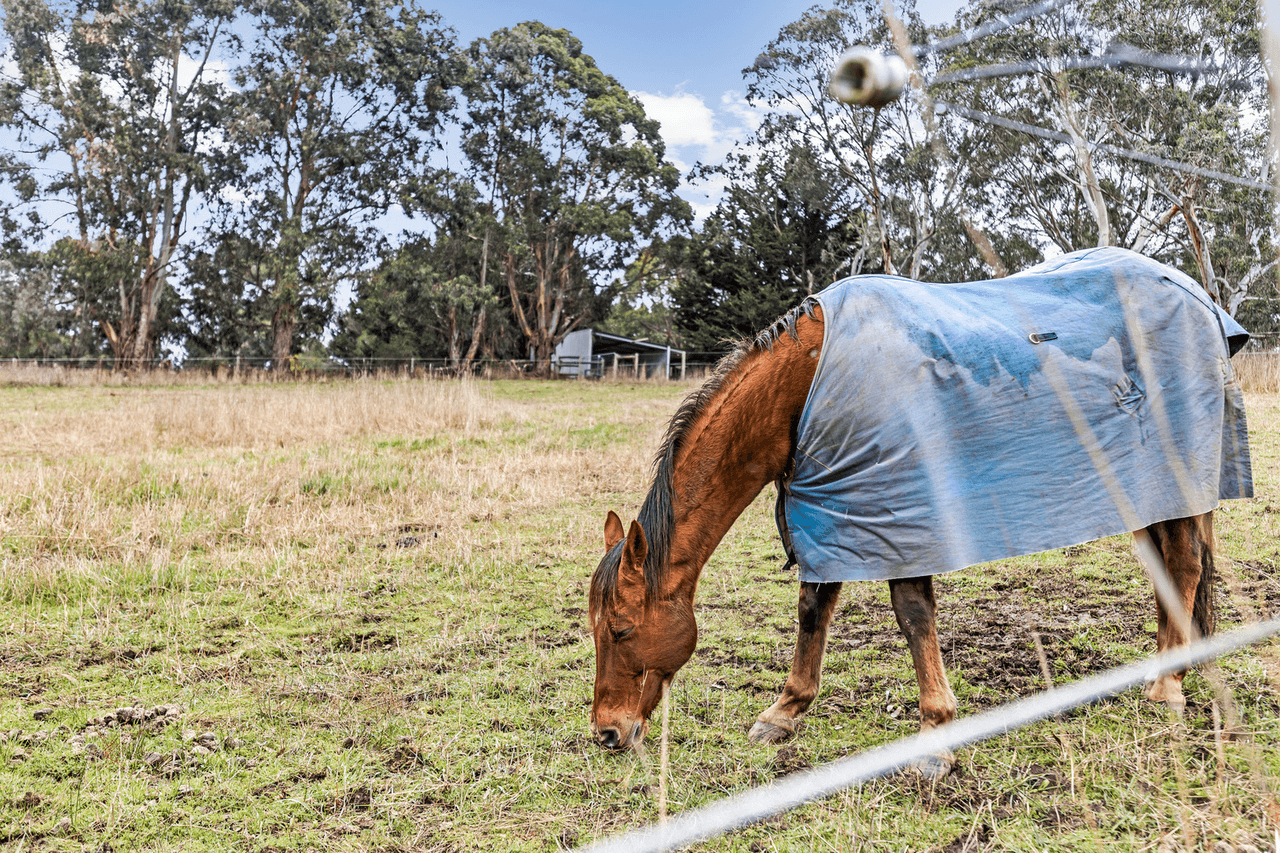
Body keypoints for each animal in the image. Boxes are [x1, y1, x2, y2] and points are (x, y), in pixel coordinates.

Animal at [586, 294, 1223, 778]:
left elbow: (912, 614)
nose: (607, 733)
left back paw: (1169, 687)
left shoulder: (902, 513)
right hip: (1147, 493)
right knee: (1170, 574)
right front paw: (784, 712)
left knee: (1187, 567)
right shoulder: (835, 509)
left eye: (620, 629)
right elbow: (813, 608)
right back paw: (1164, 670)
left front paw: (936, 736)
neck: (811, 383)